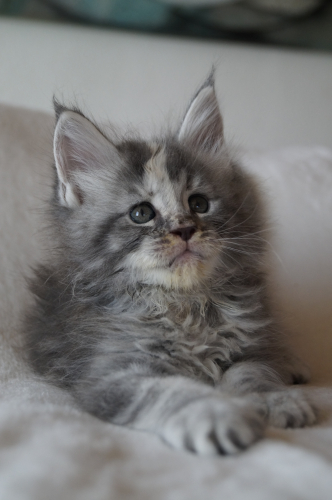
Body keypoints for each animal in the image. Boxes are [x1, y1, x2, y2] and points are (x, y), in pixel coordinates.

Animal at [24, 75, 316, 458]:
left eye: (199, 204)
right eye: (141, 213)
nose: (185, 230)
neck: (185, 304)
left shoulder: (251, 348)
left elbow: (254, 375)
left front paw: (277, 400)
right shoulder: (108, 373)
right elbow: (171, 391)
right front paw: (215, 414)